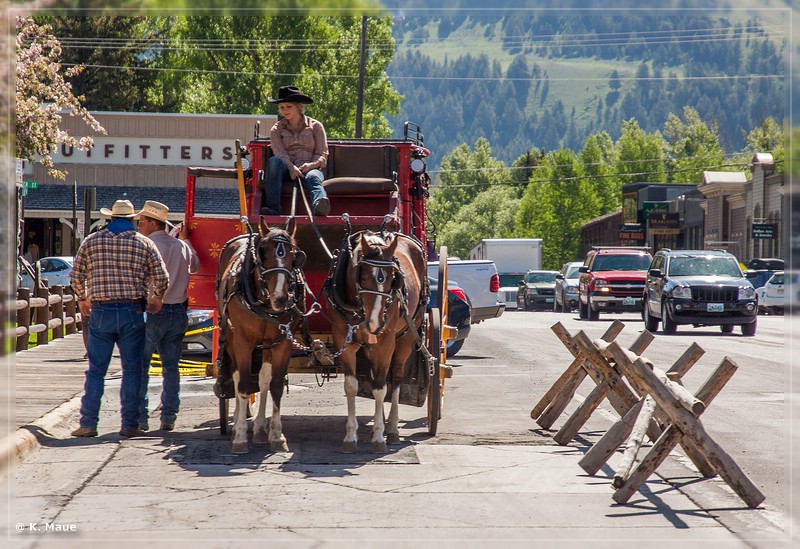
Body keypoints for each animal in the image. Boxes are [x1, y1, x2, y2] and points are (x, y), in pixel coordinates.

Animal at [216, 218, 306, 454]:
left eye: (294, 255)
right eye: (263, 253)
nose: (281, 299)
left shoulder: (283, 342)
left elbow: (274, 385)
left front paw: (276, 435)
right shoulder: (242, 342)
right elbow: (244, 384)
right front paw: (239, 438)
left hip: (266, 345)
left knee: (263, 378)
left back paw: (258, 428)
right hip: (231, 340)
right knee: (237, 377)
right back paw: (238, 424)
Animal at [326, 229, 428, 452]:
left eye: (392, 280)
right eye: (362, 276)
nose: (374, 323)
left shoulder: (385, 342)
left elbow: (382, 389)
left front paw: (379, 436)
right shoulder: (342, 340)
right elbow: (352, 386)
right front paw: (350, 436)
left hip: (406, 336)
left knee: (395, 379)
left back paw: (392, 428)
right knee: (376, 379)